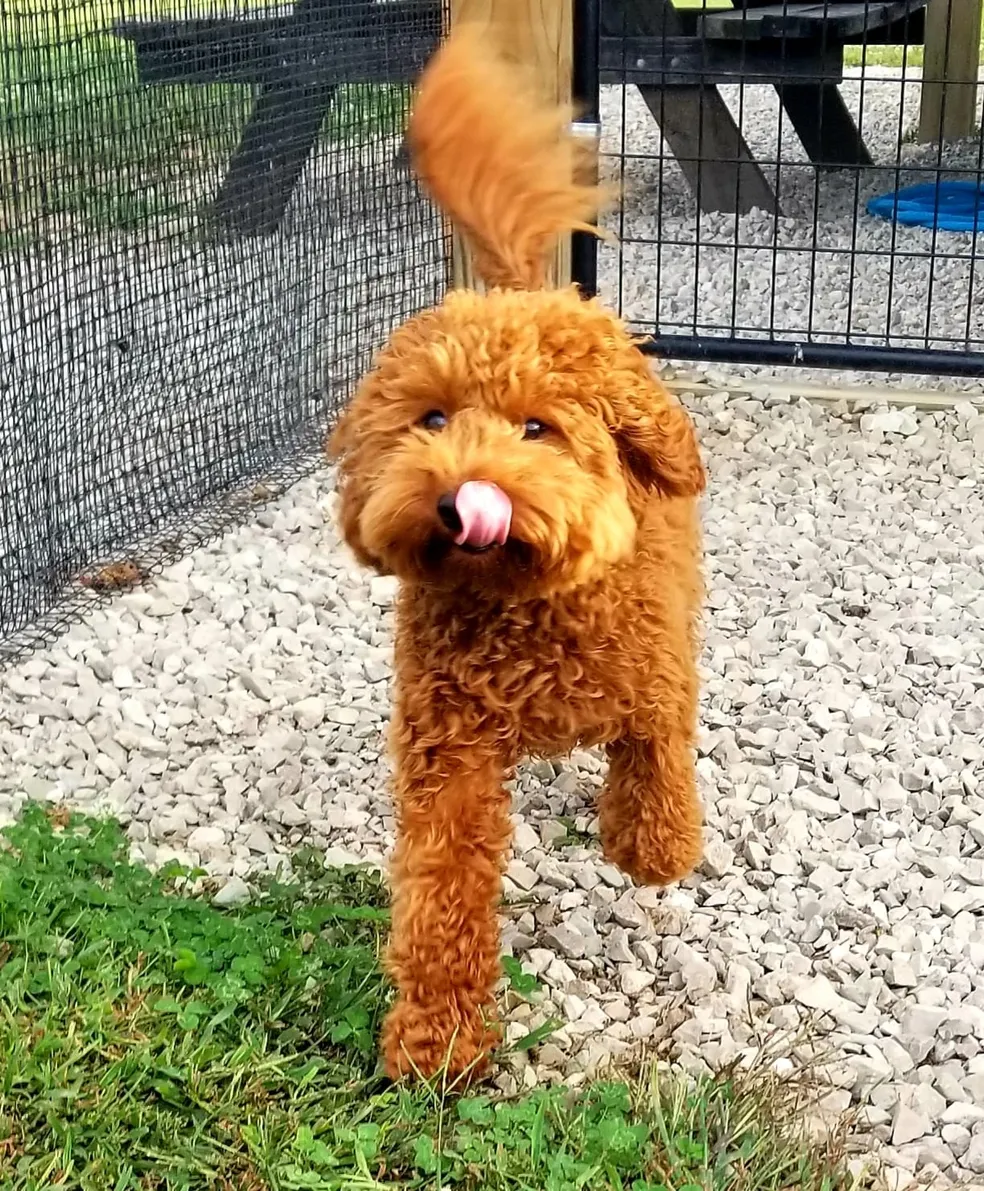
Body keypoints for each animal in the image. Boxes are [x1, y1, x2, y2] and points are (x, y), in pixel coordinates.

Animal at [328, 23, 705, 1086]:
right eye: (431, 419)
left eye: (538, 427)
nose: (460, 498)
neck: (525, 601)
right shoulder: (447, 751)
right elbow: (443, 888)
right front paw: (439, 1035)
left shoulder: (655, 679)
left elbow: (657, 756)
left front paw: (654, 846)